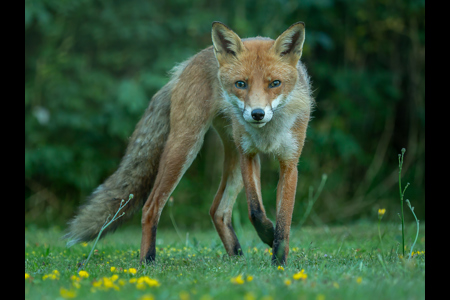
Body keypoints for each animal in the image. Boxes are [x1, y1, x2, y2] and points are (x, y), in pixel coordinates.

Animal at [65, 21, 312, 264]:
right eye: (241, 84)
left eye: (275, 83)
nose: (257, 114)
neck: (267, 134)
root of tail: (186, 64)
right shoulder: (248, 155)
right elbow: (256, 211)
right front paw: (269, 238)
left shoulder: (289, 163)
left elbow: (284, 218)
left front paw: (279, 259)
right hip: (186, 146)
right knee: (151, 206)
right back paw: (147, 260)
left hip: (231, 160)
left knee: (217, 210)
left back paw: (237, 258)